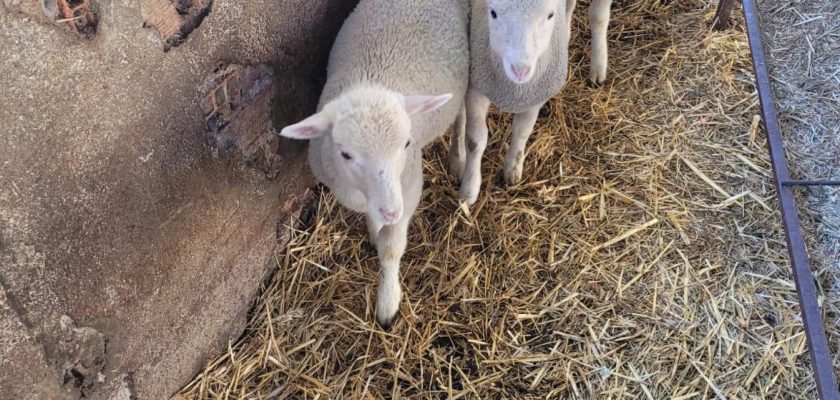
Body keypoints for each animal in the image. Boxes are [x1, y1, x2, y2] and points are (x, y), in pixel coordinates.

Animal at [278, 0, 470, 326]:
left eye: (406, 144)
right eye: (346, 154)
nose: (392, 211)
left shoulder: (409, 188)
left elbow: (391, 250)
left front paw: (387, 302)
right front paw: (374, 230)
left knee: (461, 117)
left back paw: (458, 158)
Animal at [450, 0, 612, 205]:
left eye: (550, 15)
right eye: (493, 13)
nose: (521, 70)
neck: (514, 89)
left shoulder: (535, 93)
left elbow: (522, 131)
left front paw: (512, 169)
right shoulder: (477, 88)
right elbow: (475, 140)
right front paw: (469, 190)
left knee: (598, 15)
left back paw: (598, 67)